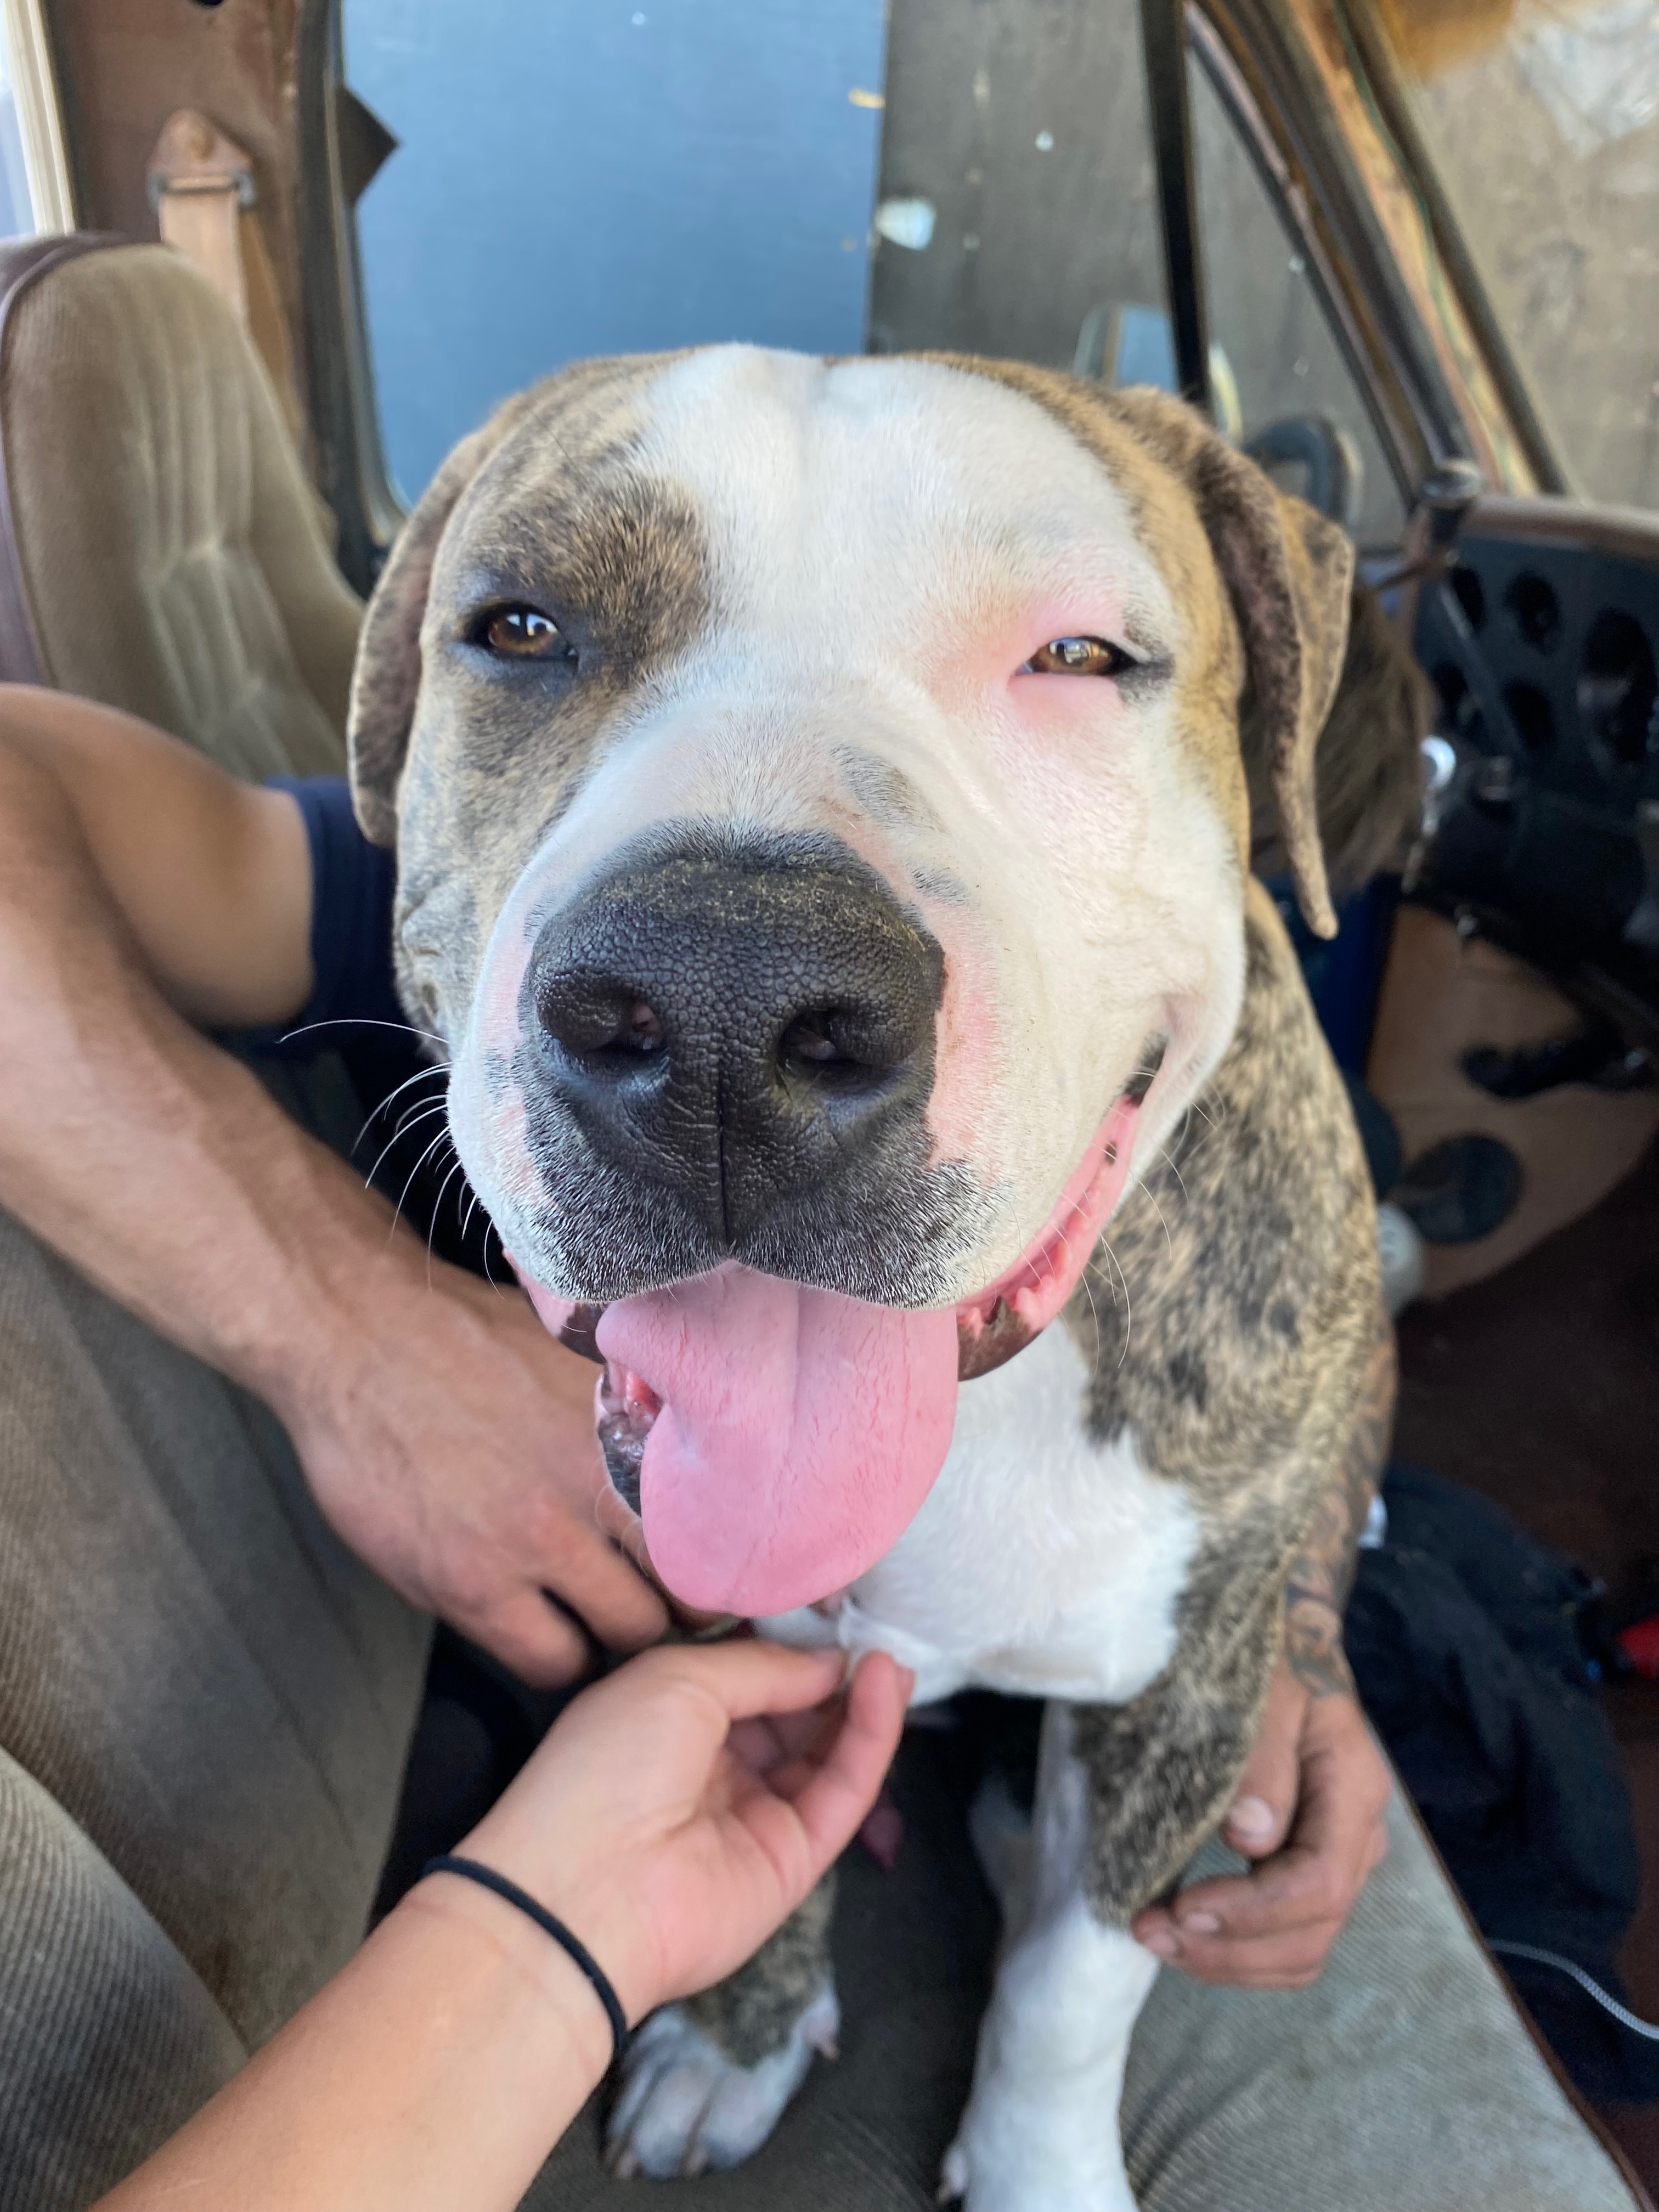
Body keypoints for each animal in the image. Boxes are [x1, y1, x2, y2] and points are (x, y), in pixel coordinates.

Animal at [348, 347, 1397, 2210]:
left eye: (1082, 658)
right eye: (523, 629)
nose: (720, 1001)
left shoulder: (1188, 1687)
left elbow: (1077, 1982)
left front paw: (1042, 2165)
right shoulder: (711, 1626)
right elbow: (774, 1839)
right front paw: (736, 2037)